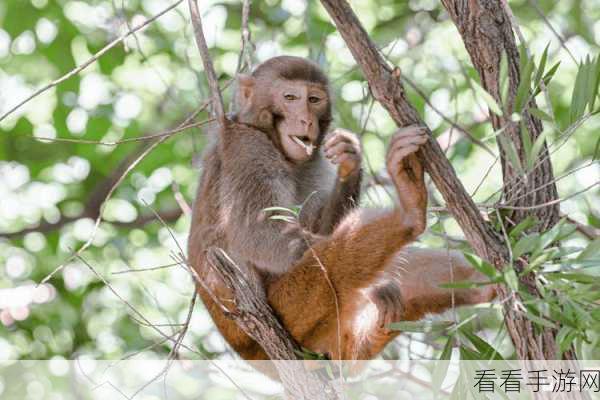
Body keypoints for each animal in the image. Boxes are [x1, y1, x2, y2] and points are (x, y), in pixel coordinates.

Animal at [186, 55, 492, 362]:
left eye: (313, 99)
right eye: (290, 97)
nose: (305, 119)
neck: (270, 138)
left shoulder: (312, 161)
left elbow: (319, 224)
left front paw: (350, 160)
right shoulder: (248, 149)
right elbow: (261, 235)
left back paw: (479, 281)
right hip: (289, 312)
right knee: (334, 265)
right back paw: (408, 213)